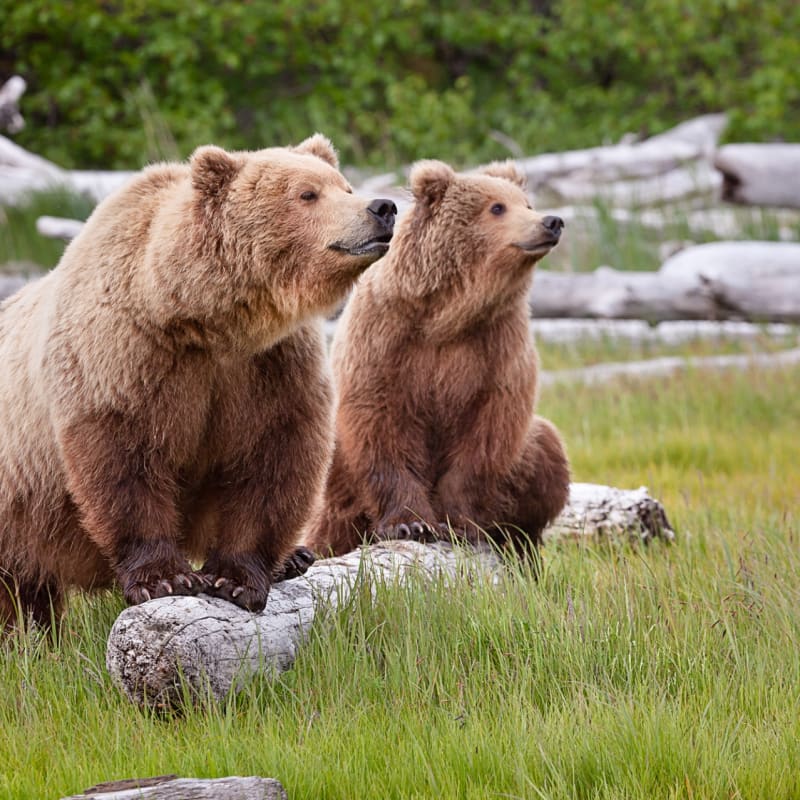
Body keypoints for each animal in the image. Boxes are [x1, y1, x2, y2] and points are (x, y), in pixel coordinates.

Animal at [0, 133, 397, 629]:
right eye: (307, 194)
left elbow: (273, 458)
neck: (205, 322)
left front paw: (236, 579)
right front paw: (164, 579)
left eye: (344, 186)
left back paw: (295, 558)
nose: (383, 207)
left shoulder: (269, 366)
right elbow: (123, 461)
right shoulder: (125, 356)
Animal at [304, 159, 569, 560]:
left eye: (526, 203)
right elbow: (380, 424)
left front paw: (458, 523)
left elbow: (486, 437)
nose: (551, 221)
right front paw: (410, 523)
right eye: (497, 207)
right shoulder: (386, 339)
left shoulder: (498, 345)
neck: (449, 314)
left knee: (547, 451)